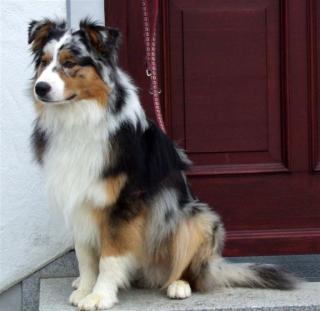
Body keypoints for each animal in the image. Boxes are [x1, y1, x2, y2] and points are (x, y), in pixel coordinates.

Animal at [28, 18, 296, 310]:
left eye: (69, 63)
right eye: (44, 62)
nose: (40, 88)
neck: (79, 117)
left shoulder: (123, 202)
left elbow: (109, 257)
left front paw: (100, 296)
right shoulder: (79, 198)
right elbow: (85, 254)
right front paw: (86, 288)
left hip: (195, 217)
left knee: (191, 270)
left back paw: (178, 285)